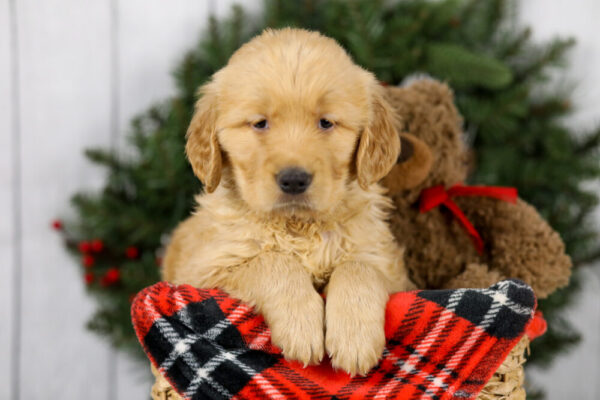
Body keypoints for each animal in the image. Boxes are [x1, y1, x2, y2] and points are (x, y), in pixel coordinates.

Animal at [162, 28, 410, 376]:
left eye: (326, 122)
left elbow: (358, 267)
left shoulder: (390, 266)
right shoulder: (205, 271)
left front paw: (354, 339)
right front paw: (301, 327)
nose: (294, 180)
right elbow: (273, 261)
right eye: (260, 123)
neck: (298, 226)